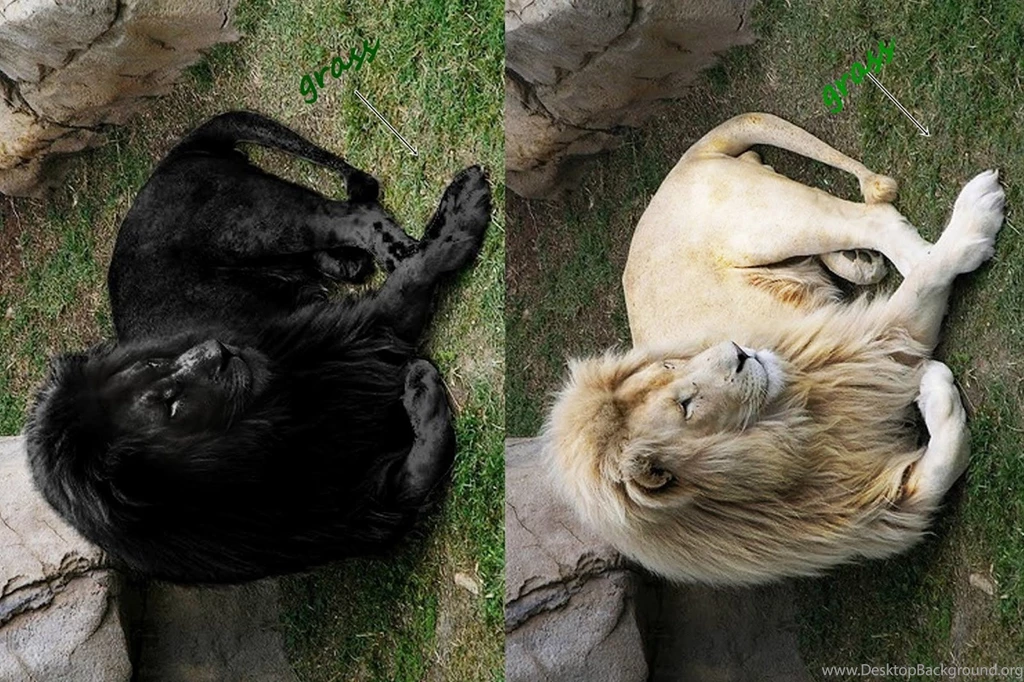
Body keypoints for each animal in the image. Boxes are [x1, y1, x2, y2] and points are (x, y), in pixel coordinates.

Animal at [545, 113, 1004, 585]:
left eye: (671, 365)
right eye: (685, 405)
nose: (739, 353)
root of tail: (681, 167)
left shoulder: (861, 339)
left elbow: (927, 281)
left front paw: (972, 229)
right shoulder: (875, 509)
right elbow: (941, 465)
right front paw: (933, 386)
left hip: (769, 223)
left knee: (873, 218)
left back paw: (955, 220)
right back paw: (867, 263)